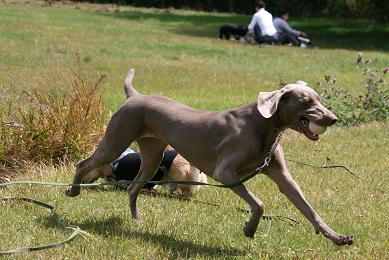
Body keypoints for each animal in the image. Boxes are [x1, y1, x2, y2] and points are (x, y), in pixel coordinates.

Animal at [66, 69, 352, 246]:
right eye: (306, 101)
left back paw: (137, 221)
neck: (264, 126)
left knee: (133, 187)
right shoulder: (225, 172)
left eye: (318, 99)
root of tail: (135, 96)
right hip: (117, 139)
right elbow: (259, 203)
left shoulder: (281, 175)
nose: (333, 118)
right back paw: (73, 190)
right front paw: (249, 229)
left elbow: (308, 208)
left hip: (152, 153)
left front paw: (337, 237)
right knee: (84, 163)